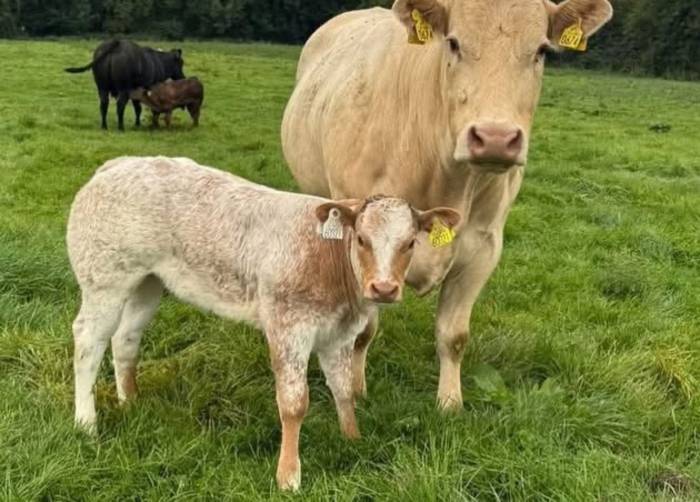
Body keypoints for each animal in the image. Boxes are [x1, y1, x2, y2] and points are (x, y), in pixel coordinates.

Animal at [66, 156, 461, 490]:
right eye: (362, 239)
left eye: (410, 243)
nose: (383, 288)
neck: (329, 259)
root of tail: (117, 164)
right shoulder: (288, 327)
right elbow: (294, 403)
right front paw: (288, 475)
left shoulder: (339, 333)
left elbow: (344, 388)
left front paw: (353, 439)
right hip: (104, 279)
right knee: (88, 342)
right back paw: (86, 423)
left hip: (148, 281)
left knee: (125, 339)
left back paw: (130, 401)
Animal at [281, 0, 613, 410]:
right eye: (453, 43)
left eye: (541, 51)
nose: (495, 138)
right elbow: (364, 330)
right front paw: (355, 389)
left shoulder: (484, 247)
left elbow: (454, 336)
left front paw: (450, 402)